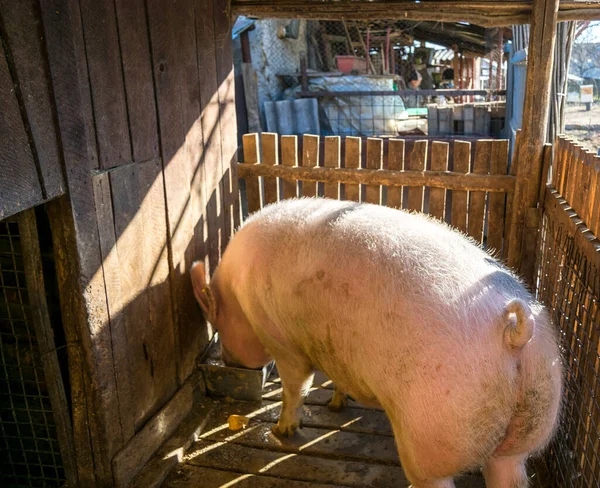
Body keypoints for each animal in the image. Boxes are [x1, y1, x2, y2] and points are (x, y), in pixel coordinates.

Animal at [191, 198, 564, 488]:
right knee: (509, 471)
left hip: (433, 431)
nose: (228, 359)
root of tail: (514, 332)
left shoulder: (281, 340)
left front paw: (284, 431)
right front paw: (336, 405)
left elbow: (295, 386)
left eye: (217, 324)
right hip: (529, 429)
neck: (238, 294)